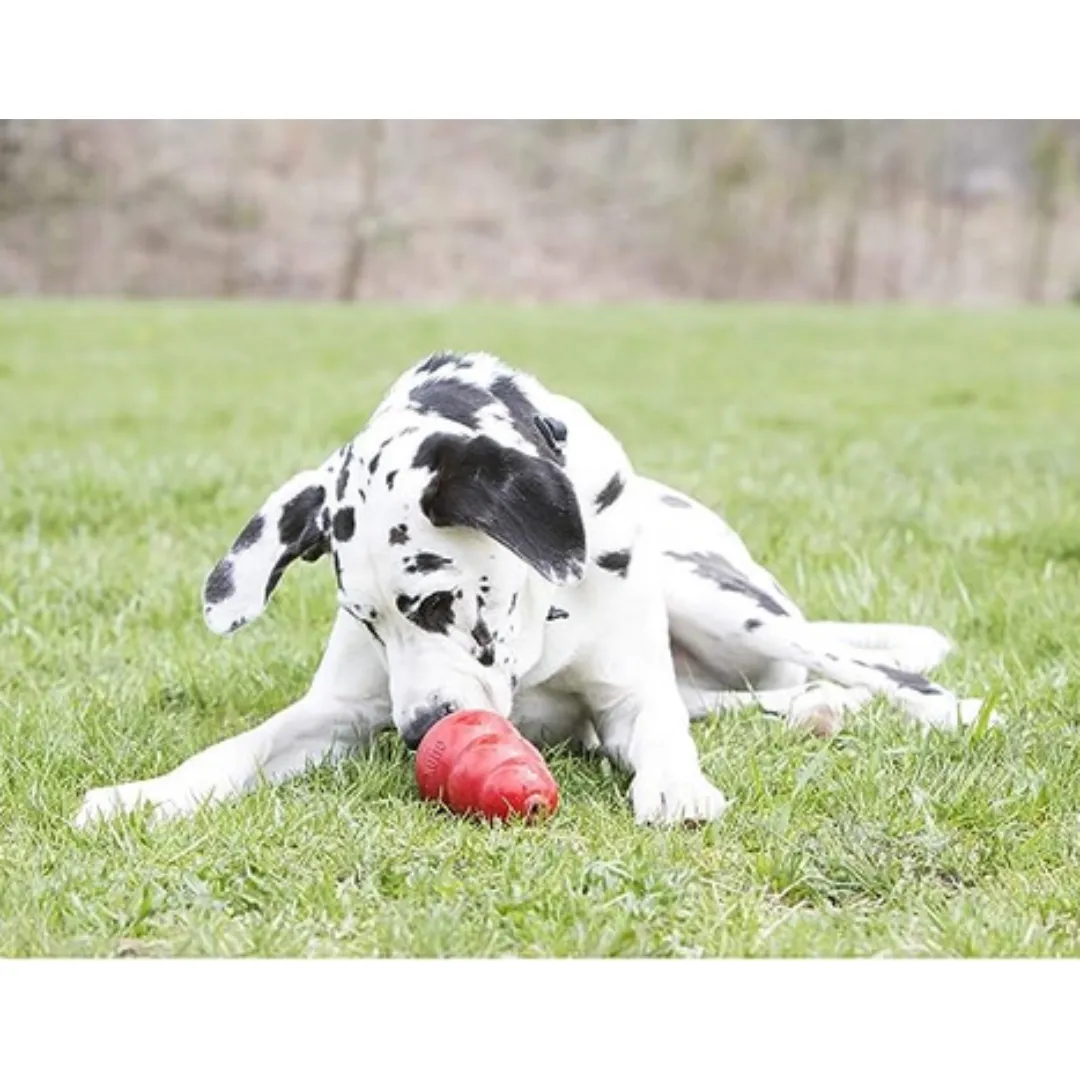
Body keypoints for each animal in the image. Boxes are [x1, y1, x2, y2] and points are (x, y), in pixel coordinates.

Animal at [76, 352, 997, 825]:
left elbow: (663, 730)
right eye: (368, 623)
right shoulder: (340, 711)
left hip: (723, 600)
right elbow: (239, 747)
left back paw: (946, 709)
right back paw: (815, 712)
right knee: (759, 697)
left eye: (438, 600)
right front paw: (146, 794)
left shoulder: (630, 695)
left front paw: (677, 785)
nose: (421, 733)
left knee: (862, 668)